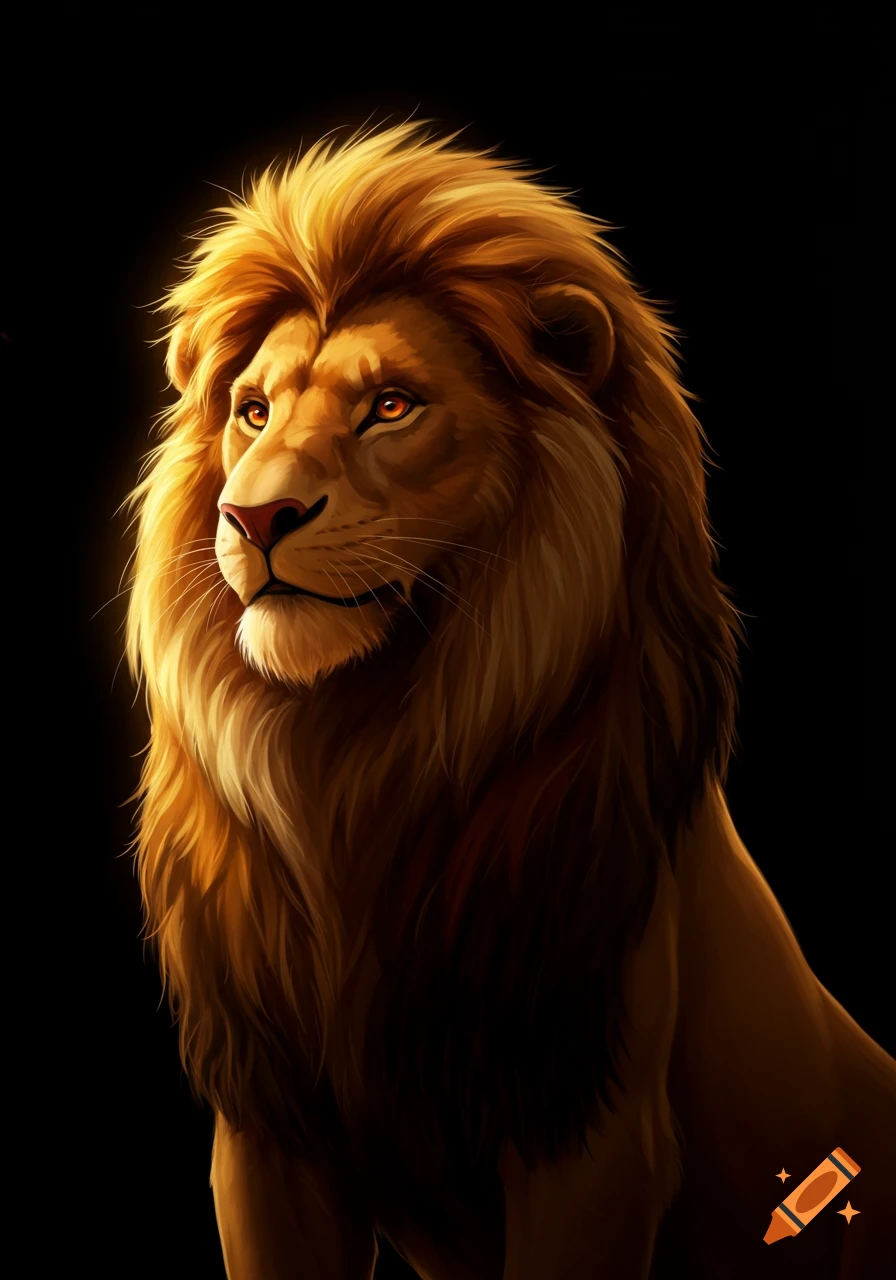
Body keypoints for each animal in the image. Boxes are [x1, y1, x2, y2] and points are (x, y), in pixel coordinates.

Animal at [125, 123, 896, 1278]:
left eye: (390, 404)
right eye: (251, 412)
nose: (252, 517)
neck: (353, 766)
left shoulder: (594, 1128)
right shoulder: (264, 1127)